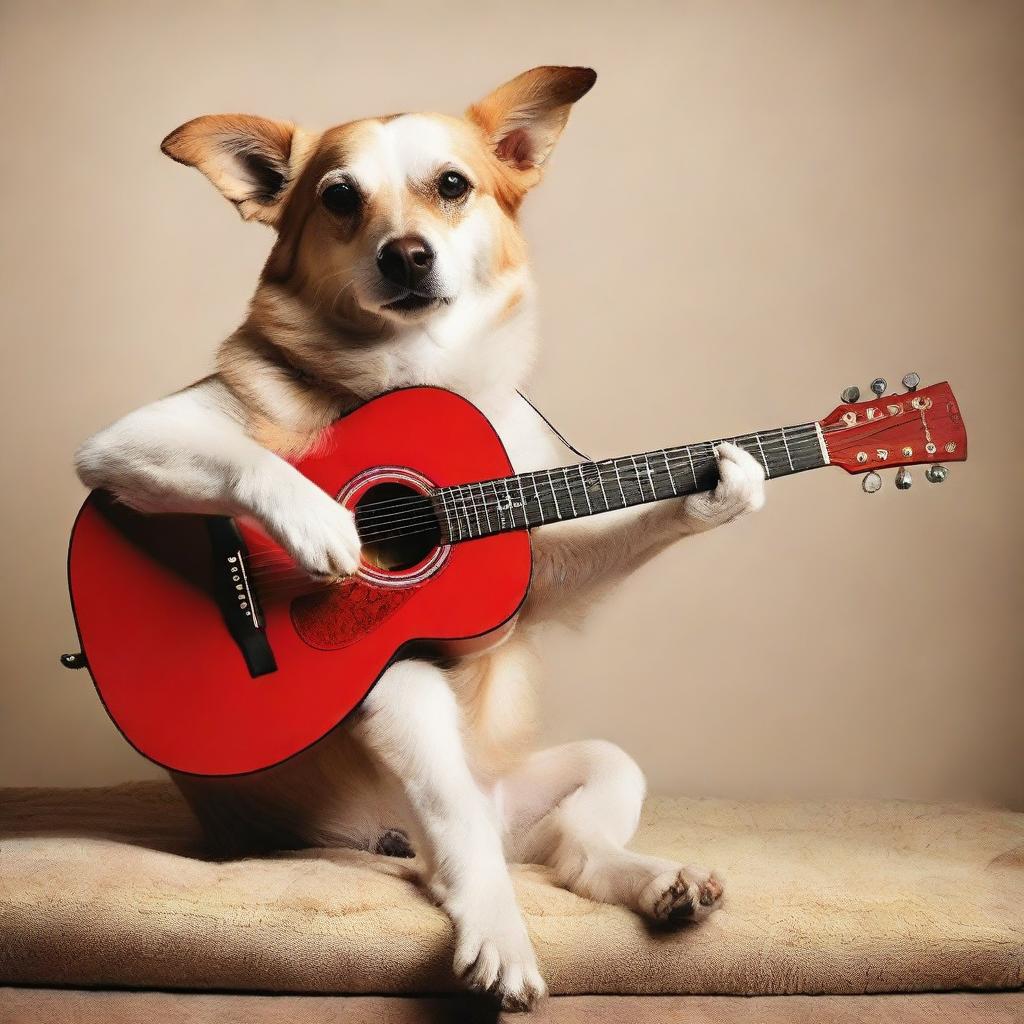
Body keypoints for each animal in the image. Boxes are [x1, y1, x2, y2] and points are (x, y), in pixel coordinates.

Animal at [75, 66, 770, 1007]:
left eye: (451, 185)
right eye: (339, 197)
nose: (406, 255)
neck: (420, 373)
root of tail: (387, 839)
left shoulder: (532, 555)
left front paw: (721, 487)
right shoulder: (130, 437)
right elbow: (241, 463)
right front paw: (324, 527)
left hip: (575, 778)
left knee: (572, 853)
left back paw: (659, 885)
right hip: (396, 706)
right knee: (456, 833)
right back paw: (497, 935)